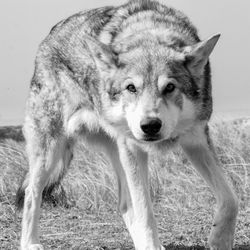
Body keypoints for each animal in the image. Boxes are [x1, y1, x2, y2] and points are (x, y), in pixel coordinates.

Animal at [15, 0, 238, 250]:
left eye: (170, 87)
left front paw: (220, 239)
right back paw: (30, 243)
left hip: (115, 152)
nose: (150, 125)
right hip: (52, 151)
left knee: (124, 205)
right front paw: (152, 244)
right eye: (131, 88)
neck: (150, 31)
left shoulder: (196, 140)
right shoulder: (133, 147)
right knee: (32, 193)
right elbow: (146, 212)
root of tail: (50, 35)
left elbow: (230, 199)